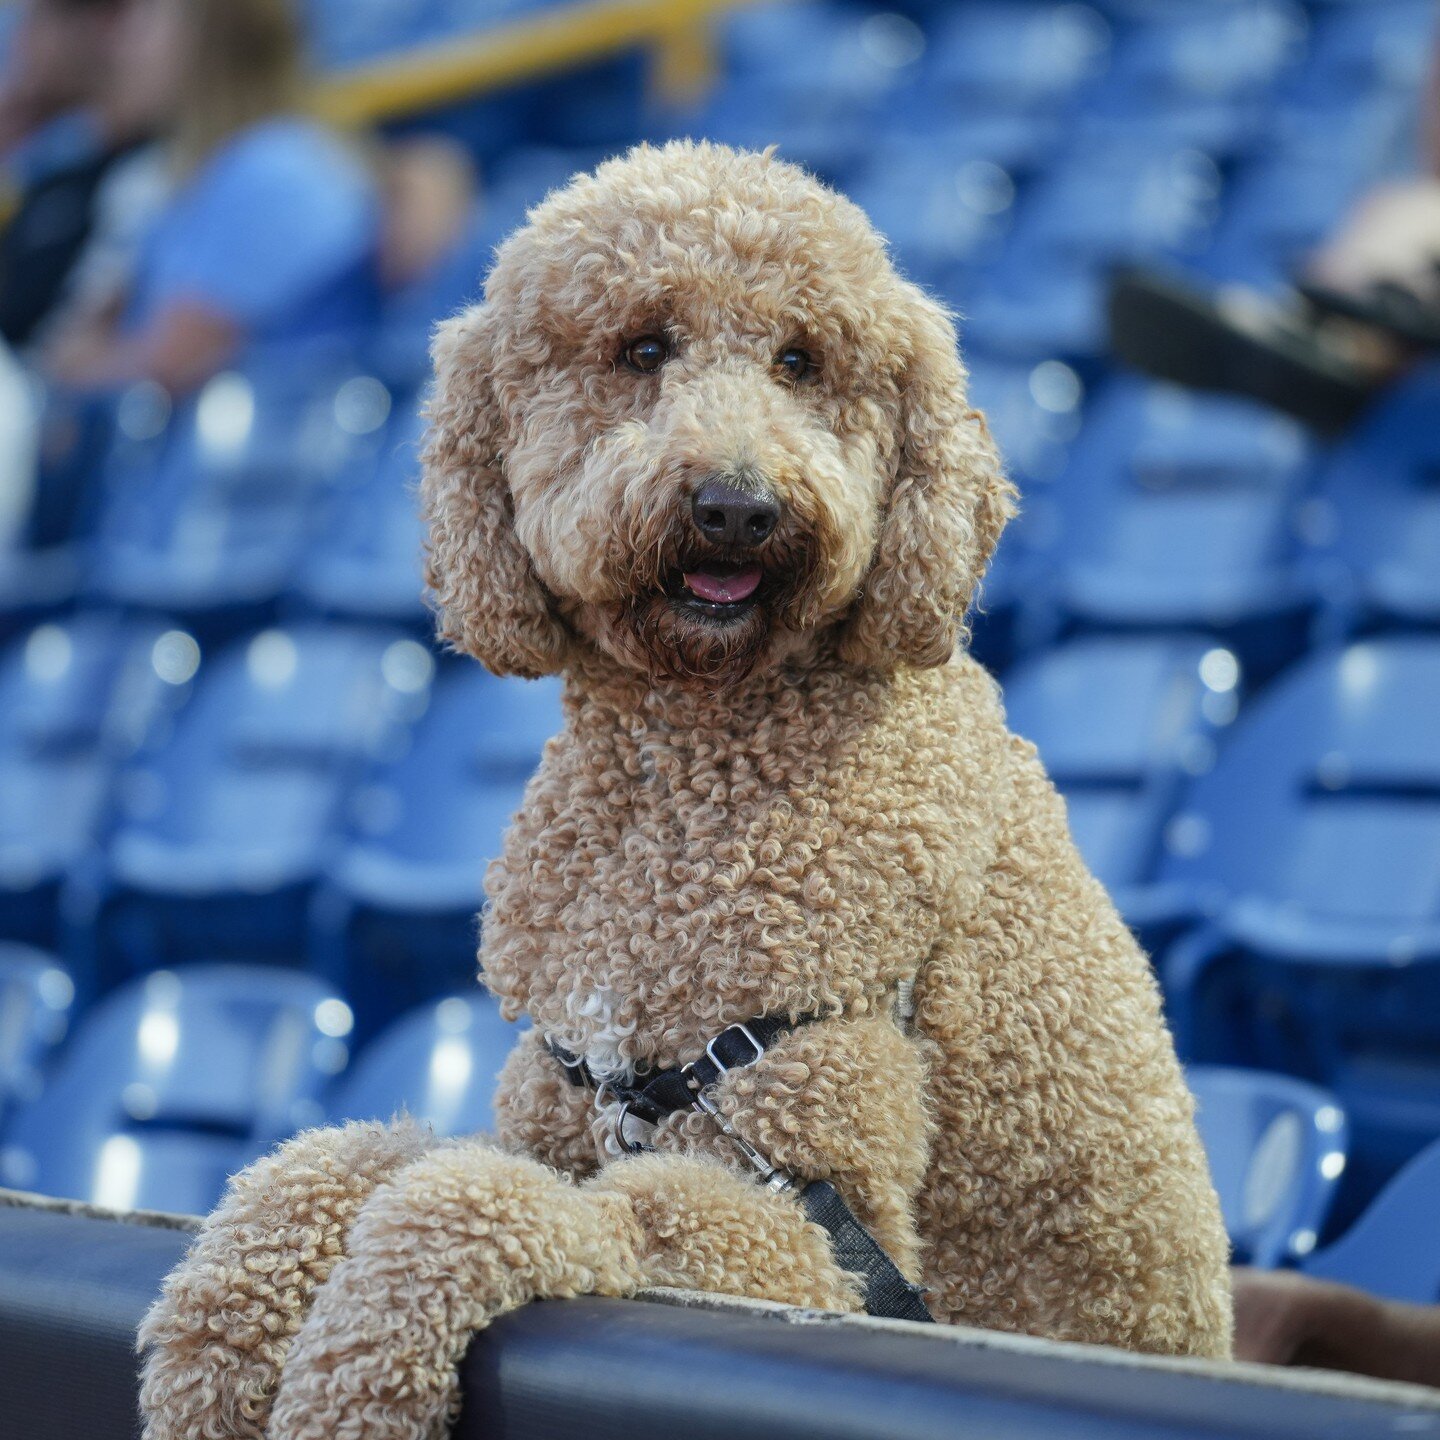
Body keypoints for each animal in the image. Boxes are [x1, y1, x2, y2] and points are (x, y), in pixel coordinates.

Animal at [140, 143, 1232, 1440]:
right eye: (643, 347)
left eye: (802, 359)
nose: (739, 506)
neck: (683, 769)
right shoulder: (567, 1112)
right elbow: (331, 1164)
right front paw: (215, 1343)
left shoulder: (808, 1228)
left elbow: (463, 1203)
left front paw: (355, 1372)